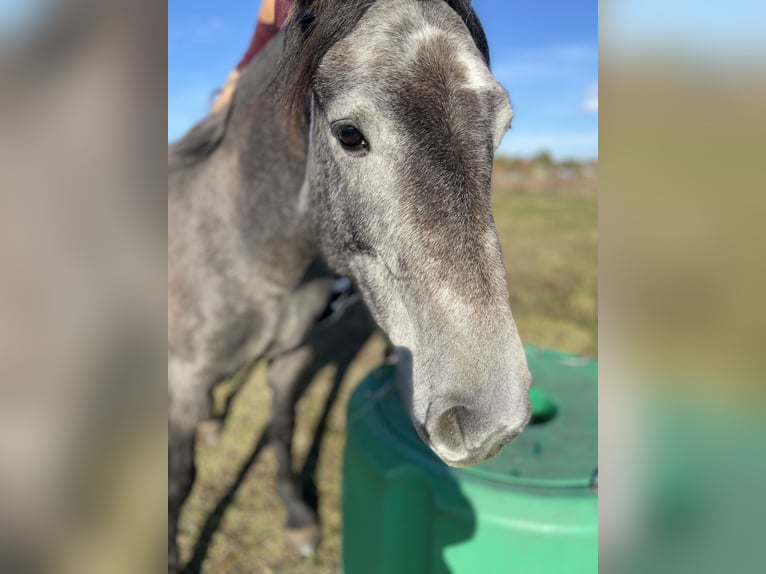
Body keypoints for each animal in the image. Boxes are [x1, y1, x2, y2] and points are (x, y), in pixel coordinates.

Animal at [170, 0, 536, 572]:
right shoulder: (183, 380)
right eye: (348, 134)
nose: (490, 419)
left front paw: (299, 517)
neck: (243, 239)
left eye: (501, 128)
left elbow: (282, 426)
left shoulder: (293, 356)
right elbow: (179, 479)